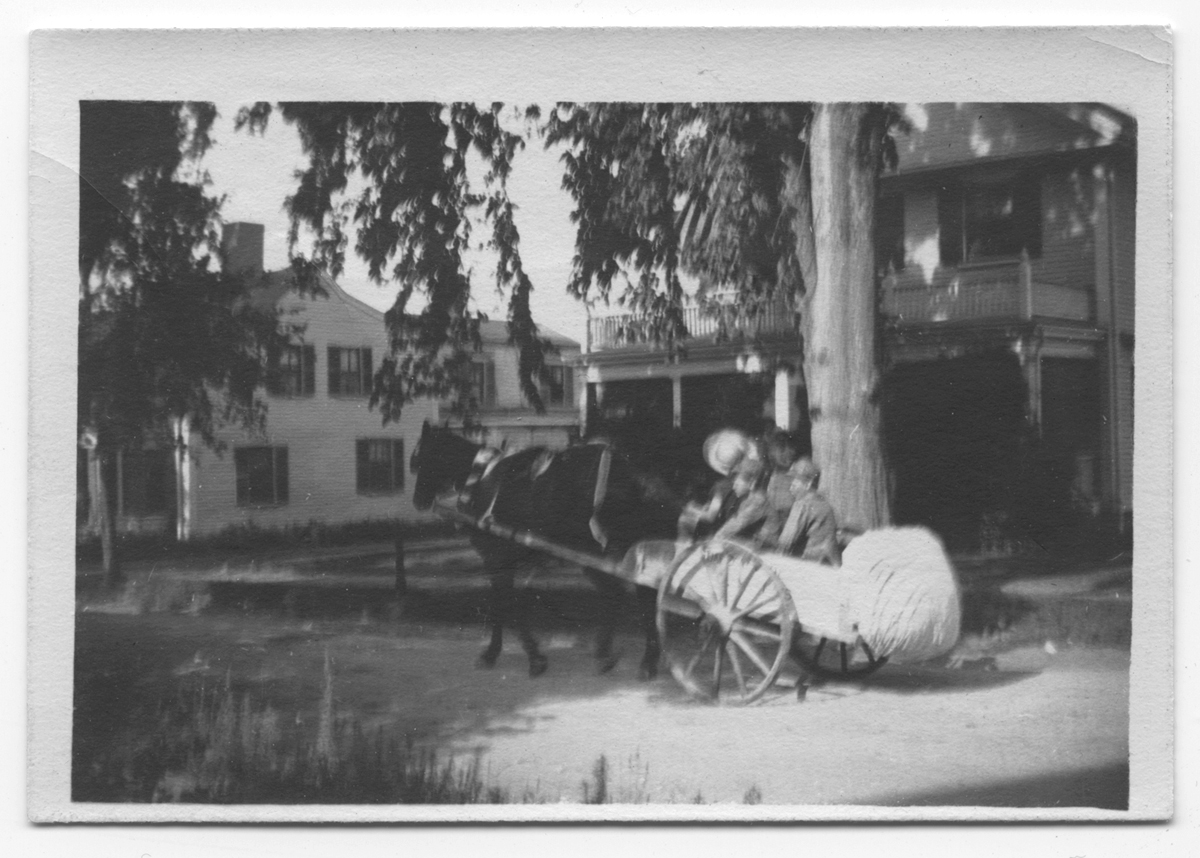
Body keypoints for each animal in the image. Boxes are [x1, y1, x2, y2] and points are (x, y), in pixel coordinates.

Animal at [410, 420, 686, 681]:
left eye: (419, 458)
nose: (418, 501)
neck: (480, 479)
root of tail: (632, 473)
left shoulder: (497, 560)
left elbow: (504, 605)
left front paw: (514, 656)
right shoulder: (522, 561)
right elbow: (514, 603)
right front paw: (516, 653)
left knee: (629, 595)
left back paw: (628, 658)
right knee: (629, 595)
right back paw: (627, 656)